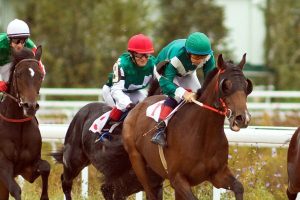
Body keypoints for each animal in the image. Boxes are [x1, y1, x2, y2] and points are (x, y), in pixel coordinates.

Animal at [0, 46, 49, 199]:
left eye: (40, 75)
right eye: (19, 75)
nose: (30, 106)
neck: (18, 125)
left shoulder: (28, 168)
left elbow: (46, 167)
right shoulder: (3, 165)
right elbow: (15, 189)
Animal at [120, 53, 253, 200]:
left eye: (247, 86)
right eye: (226, 85)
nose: (242, 118)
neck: (203, 136)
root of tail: (139, 105)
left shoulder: (218, 174)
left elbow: (238, 187)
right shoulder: (177, 179)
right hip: (137, 162)